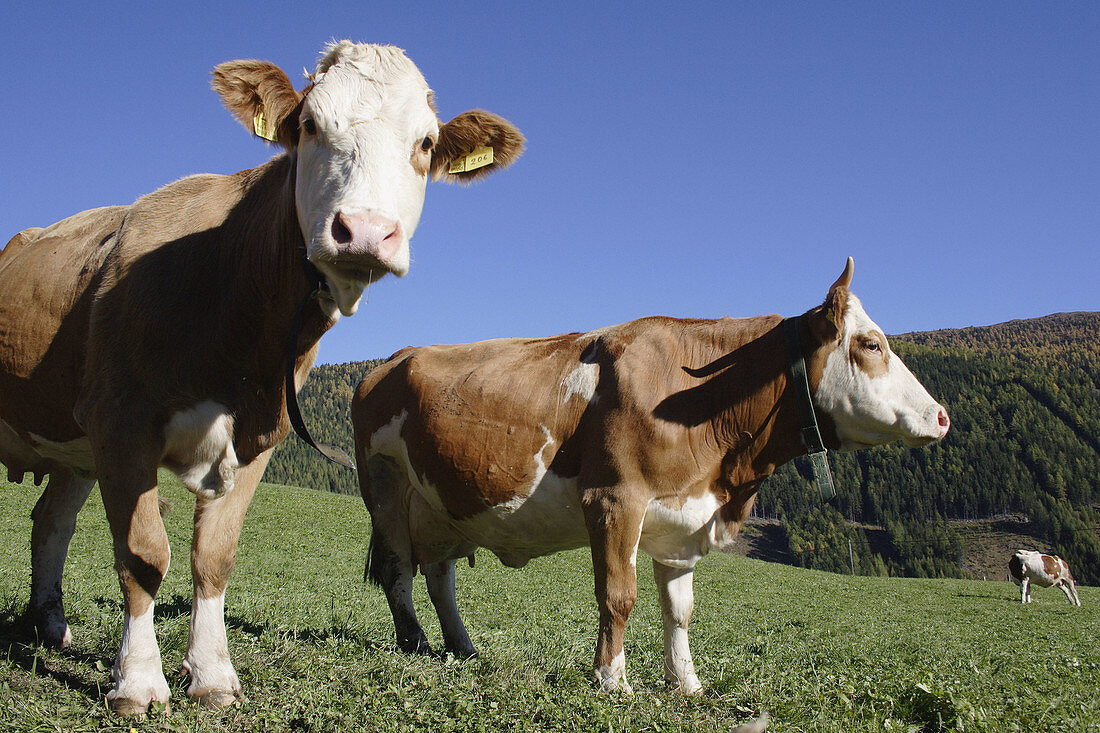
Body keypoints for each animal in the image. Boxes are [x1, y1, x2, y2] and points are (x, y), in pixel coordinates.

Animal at [0, 41, 523, 713]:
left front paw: (212, 675)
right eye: (310, 125)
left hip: (75, 447)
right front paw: (138, 682)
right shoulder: (121, 420)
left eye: (426, 143)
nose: (364, 231)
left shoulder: (258, 434)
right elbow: (143, 554)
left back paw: (49, 623)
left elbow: (214, 556)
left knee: (52, 521)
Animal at [349, 259, 946, 695]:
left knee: (439, 574)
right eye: (871, 344)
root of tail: (393, 359)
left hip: (442, 504)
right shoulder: (613, 499)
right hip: (385, 488)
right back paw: (415, 643)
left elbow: (678, 610)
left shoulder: (682, 517)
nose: (941, 416)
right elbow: (619, 595)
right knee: (399, 571)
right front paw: (612, 681)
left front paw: (687, 685)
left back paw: (463, 647)